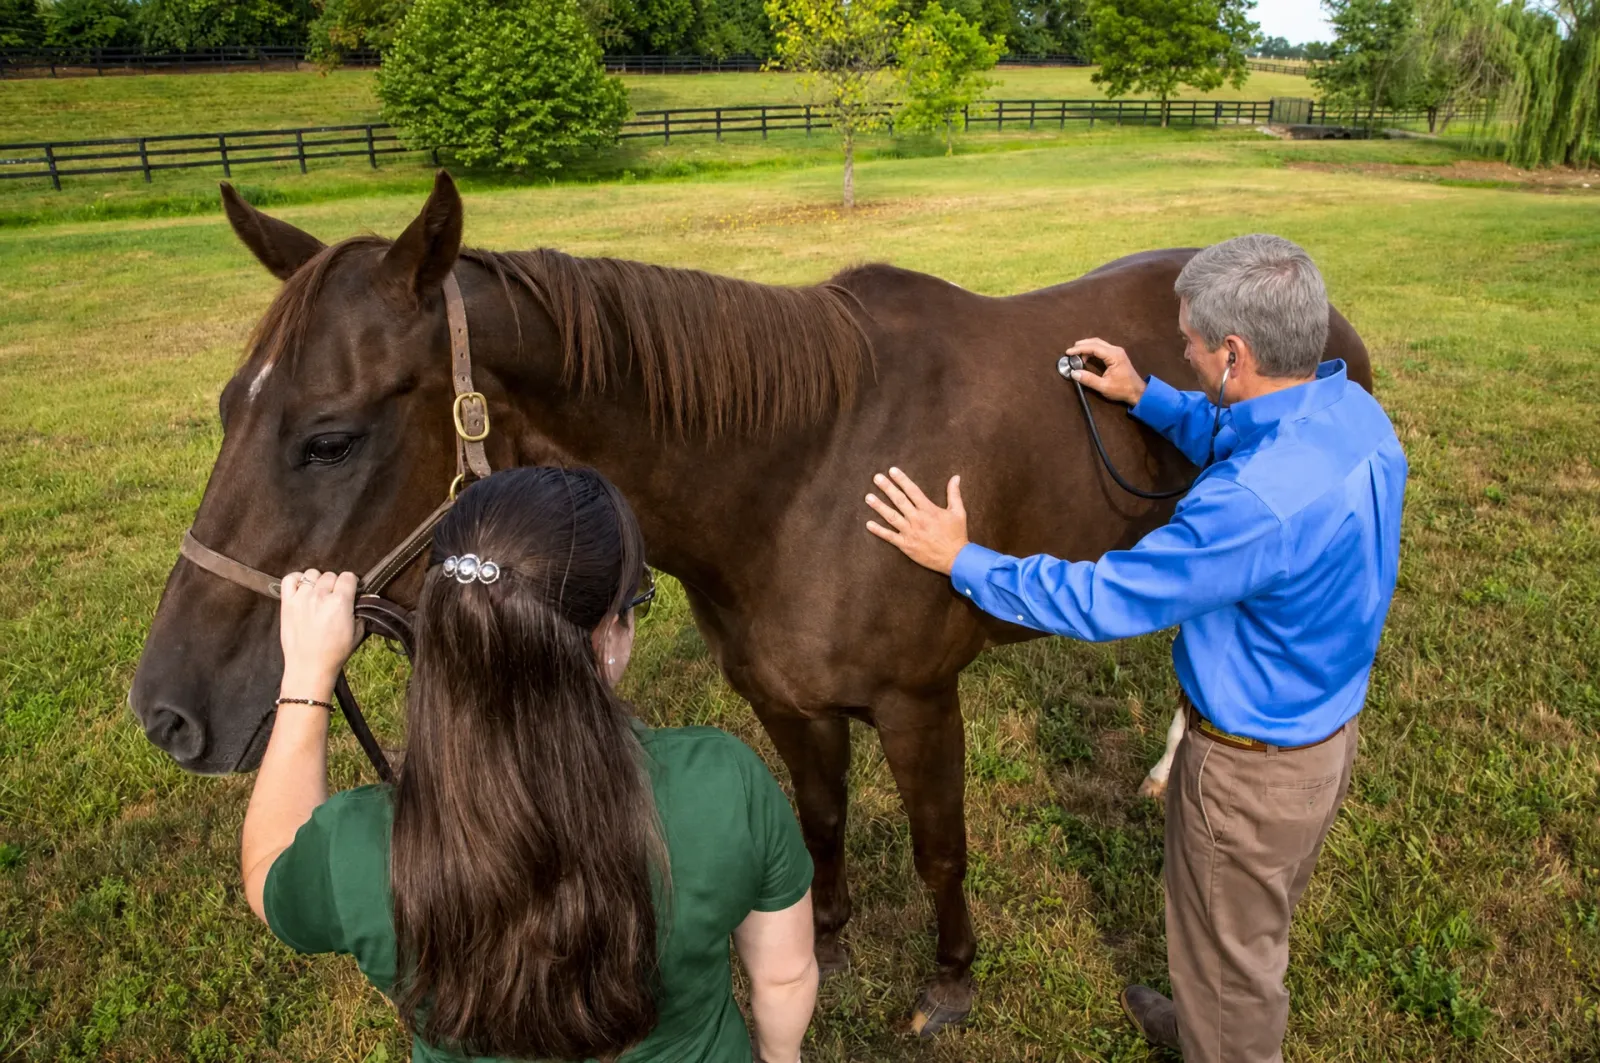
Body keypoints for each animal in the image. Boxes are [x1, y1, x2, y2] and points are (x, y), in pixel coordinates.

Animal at [131, 172, 1372, 1034]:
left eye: (330, 437)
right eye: (227, 408)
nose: (168, 711)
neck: (806, 469)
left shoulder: (919, 705)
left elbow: (940, 851)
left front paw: (948, 985)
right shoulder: (786, 700)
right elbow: (818, 823)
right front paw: (823, 935)